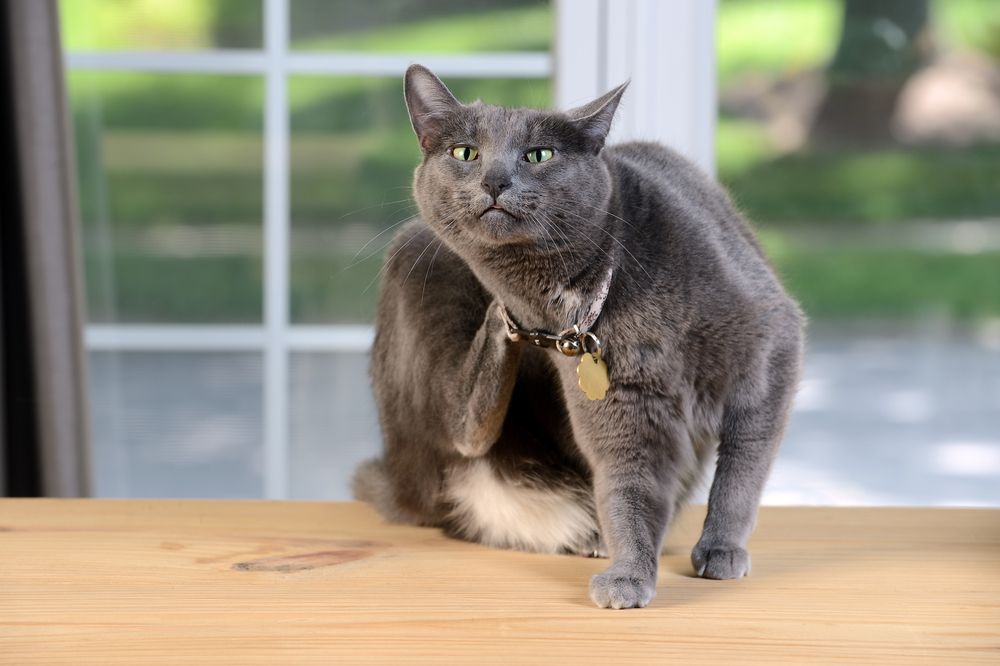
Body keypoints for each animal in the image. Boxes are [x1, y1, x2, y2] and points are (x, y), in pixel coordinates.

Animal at [354, 65, 804, 608]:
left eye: (540, 154)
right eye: (465, 152)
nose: (495, 180)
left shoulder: (770, 344)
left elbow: (742, 466)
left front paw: (720, 548)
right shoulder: (619, 408)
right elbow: (628, 487)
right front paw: (629, 574)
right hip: (415, 257)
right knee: (464, 432)